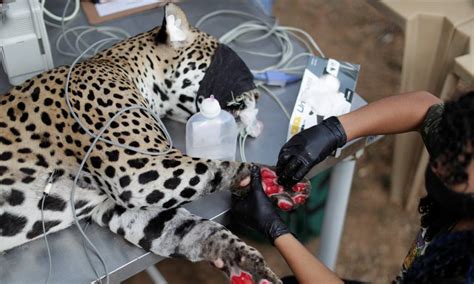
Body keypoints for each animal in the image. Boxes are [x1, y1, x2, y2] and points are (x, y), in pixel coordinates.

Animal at [0, 3, 312, 282]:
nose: (258, 95)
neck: (124, 68)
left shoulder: (117, 202)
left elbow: (197, 230)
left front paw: (246, 261)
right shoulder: (137, 168)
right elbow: (217, 165)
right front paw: (273, 179)